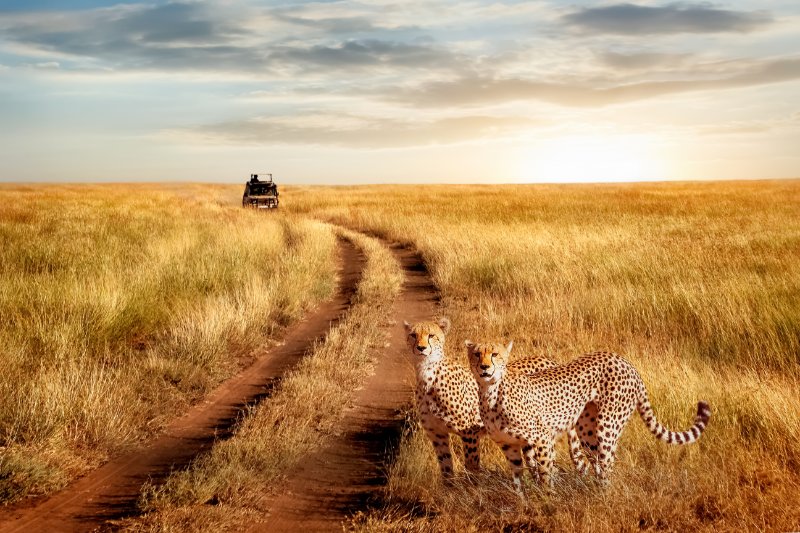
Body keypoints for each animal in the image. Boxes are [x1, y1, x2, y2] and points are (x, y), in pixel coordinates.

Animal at [406, 320, 592, 478]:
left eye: (431, 335)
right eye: (413, 335)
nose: (421, 348)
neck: (427, 375)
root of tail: (548, 360)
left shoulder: (469, 432)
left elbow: (471, 466)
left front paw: (472, 489)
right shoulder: (437, 434)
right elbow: (445, 470)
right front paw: (449, 491)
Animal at [466, 340, 708, 486]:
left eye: (495, 354)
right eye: (477, 354)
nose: (485, 367)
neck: (491, 392)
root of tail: (625, 361)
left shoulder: (543, 438)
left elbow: (545, 474)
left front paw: (547, 501)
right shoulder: (508, 445)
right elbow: (518, 480)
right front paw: (524, 502)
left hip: (607, 425)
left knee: (608, 461)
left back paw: (604, 497)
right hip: (585, 429)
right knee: (597, 461)